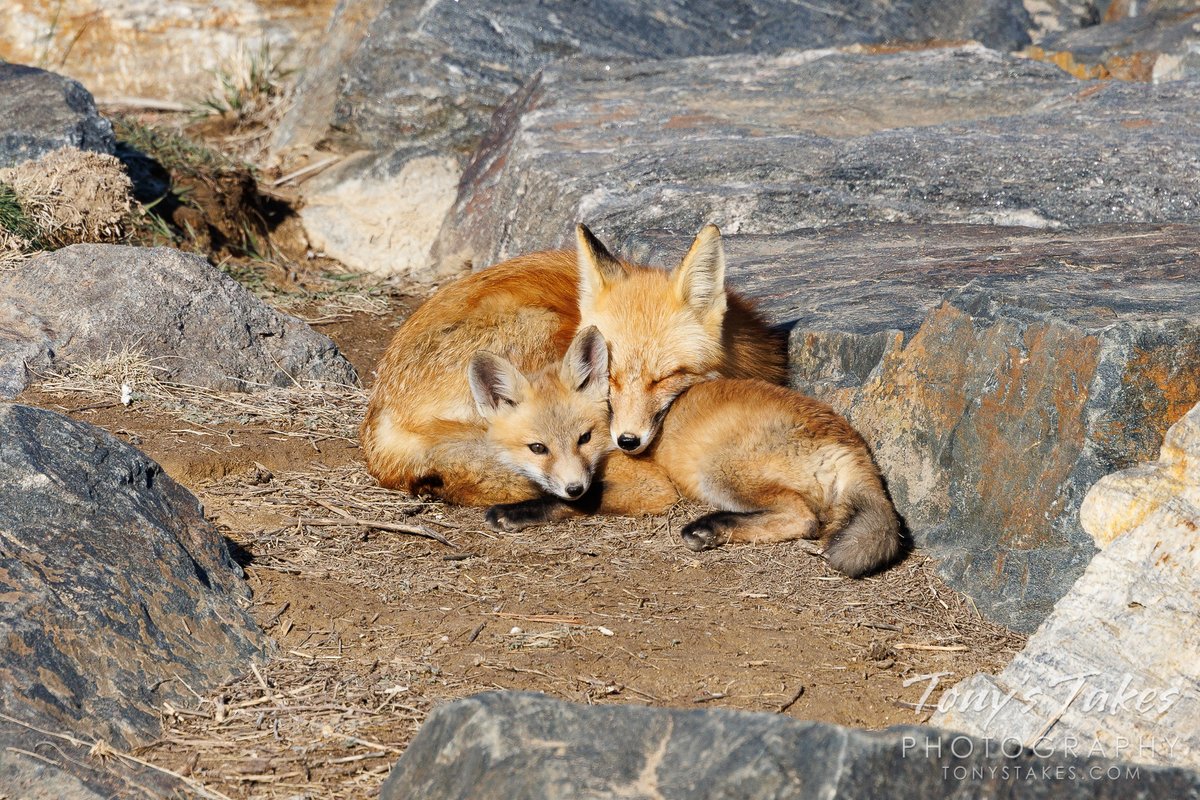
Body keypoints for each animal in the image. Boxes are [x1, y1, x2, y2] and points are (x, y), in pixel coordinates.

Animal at [481, 331, 904, 578]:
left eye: (584, 438)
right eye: (538, 448)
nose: (573, 485)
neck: (611, 429)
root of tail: (853, 443)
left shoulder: (652, 488)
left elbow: (584, 501)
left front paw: (519, 511)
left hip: (718, 472)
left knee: (804, 519)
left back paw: (709, 528)